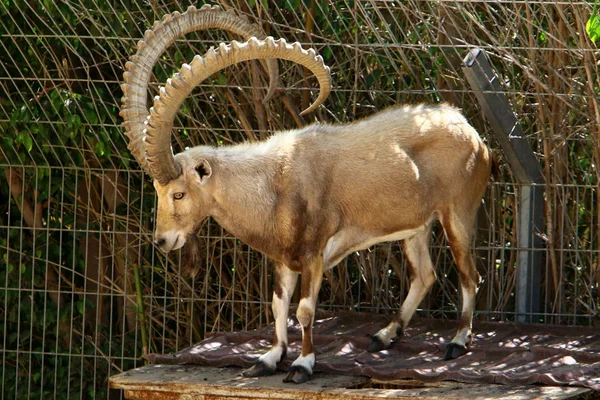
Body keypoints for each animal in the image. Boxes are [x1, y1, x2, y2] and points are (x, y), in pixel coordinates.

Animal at [120, 3, 492, 384]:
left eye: (178, 194)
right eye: (157, 190)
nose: (162, 241)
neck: (273, 182)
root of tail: (468, 129)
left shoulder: (314, 254)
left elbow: (304, 310)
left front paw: (302, 364)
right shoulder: (283, 258)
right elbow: (277, 304)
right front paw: (269, 358)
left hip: (458, 214)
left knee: (469, 276)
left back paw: (457, 341)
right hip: (416, 227)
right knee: (425, 275)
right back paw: (383, 335)